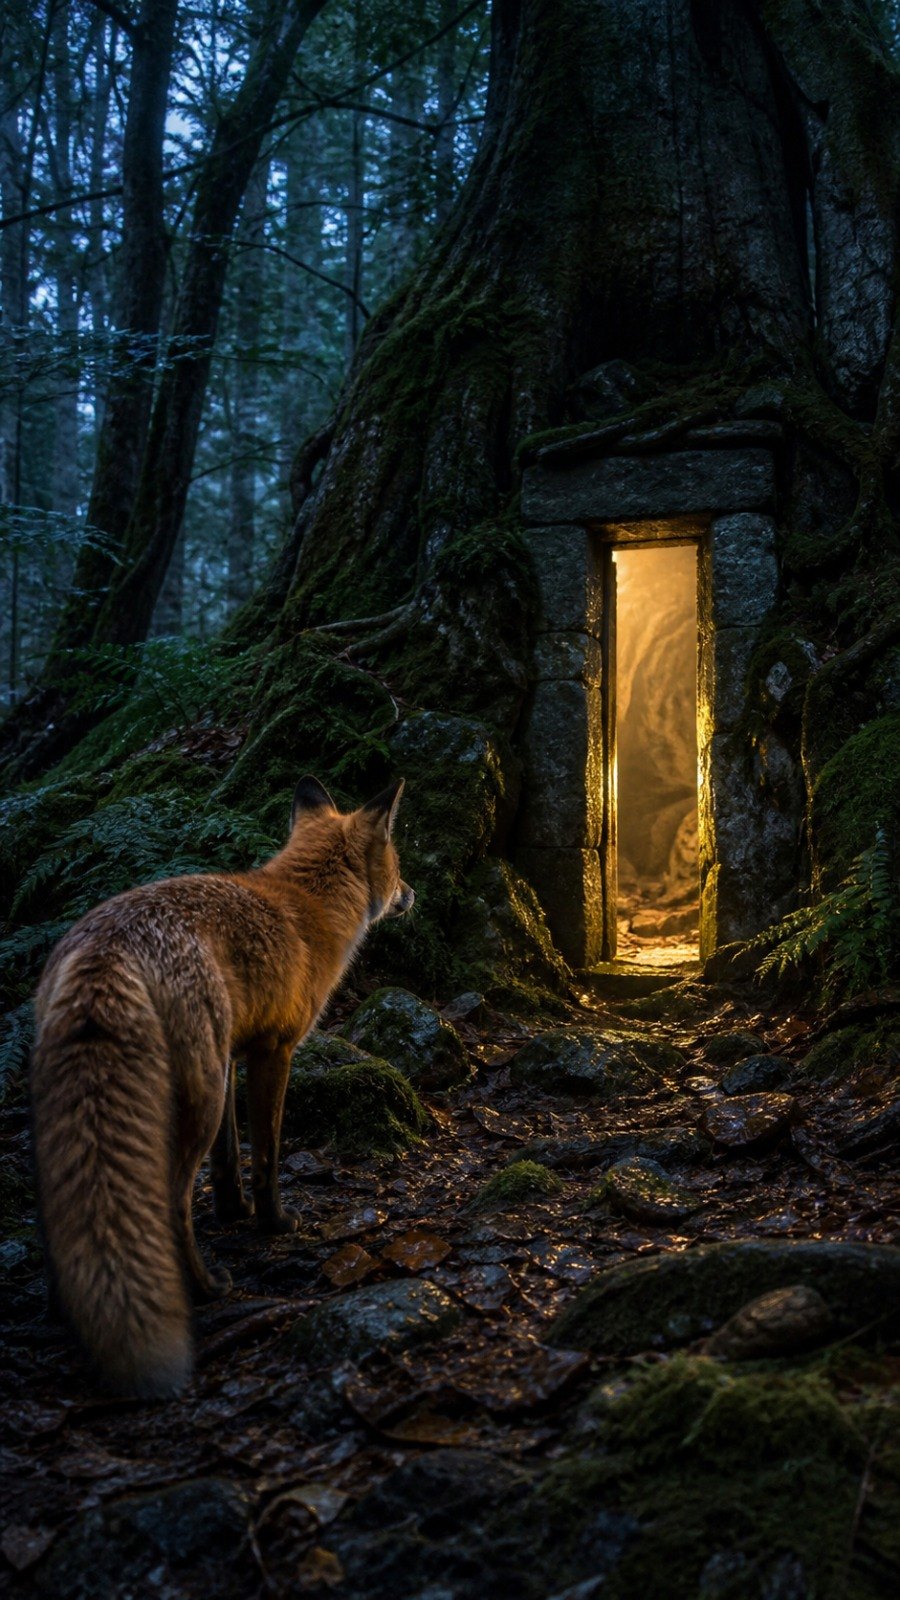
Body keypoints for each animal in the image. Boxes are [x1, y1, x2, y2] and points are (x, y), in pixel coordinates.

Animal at [30, 774, 414, 1400]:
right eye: (397, 861)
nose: (411, 893)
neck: (307, 902)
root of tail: (105, 949)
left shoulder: (233, 1053)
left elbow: (229, 1159)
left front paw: (233, 1211)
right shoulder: (273, 1051)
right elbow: (267, 1156)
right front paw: (272, 1223)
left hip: (143, 1091)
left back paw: (63, 1307)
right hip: (200, 1095)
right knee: (172, 1201)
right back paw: (206, 1287)